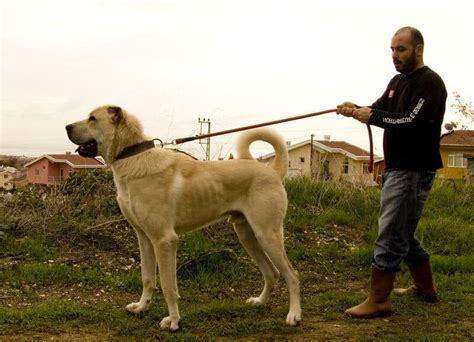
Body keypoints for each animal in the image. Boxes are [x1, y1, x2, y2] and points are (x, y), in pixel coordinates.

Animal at [64, 106, 300, 332]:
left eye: (92, 118)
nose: (66, 127)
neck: (131, 156)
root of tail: (272, 170)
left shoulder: (165, 240)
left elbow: (168, 286)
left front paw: (174, 321)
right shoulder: (145, 239)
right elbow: (148, 278)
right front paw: (141, 307)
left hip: (267, 235)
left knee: (292, 275)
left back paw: (294, 315)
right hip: (247, 235)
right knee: (272, 273)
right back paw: (260, 302)